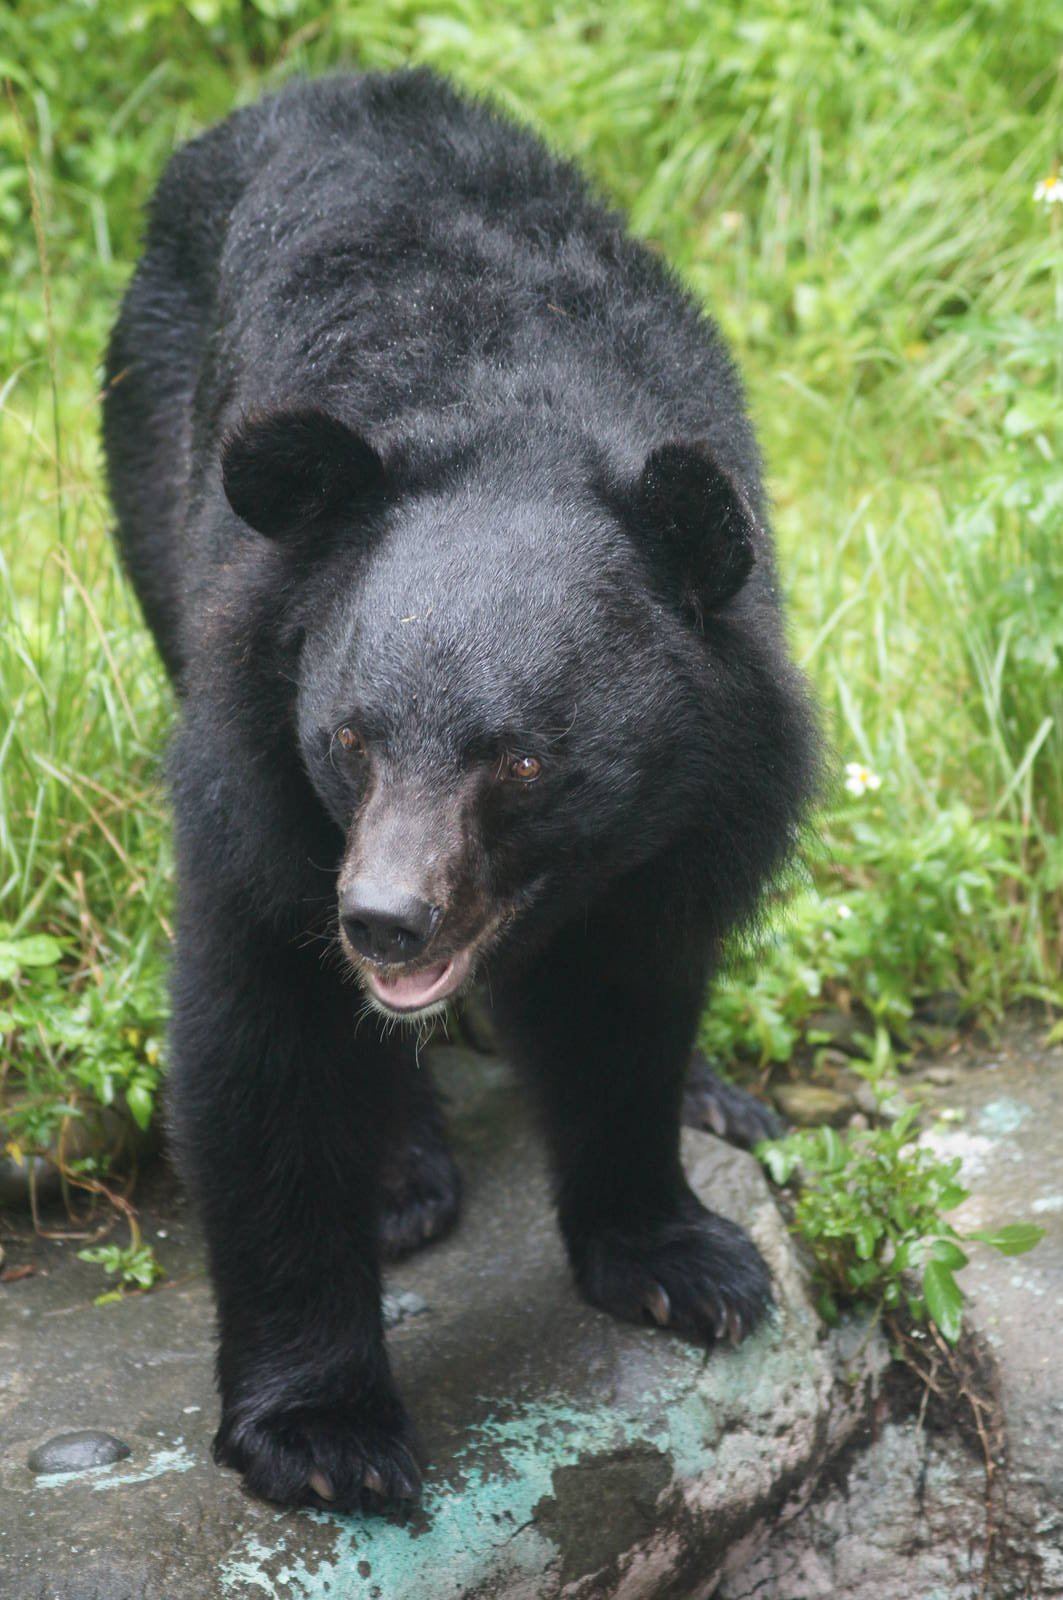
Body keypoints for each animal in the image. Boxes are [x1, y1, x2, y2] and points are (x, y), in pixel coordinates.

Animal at [102, 68, 818, 1514]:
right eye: (349, 740)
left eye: (523, 761)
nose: (383, 921)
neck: (514, 419)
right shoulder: (256, 763)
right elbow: (262, 1043)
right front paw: (324, 1437)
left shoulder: (690, 805)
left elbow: (624, 1006)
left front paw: (688, 1268)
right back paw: (401, 1176)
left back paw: (720, 1097)